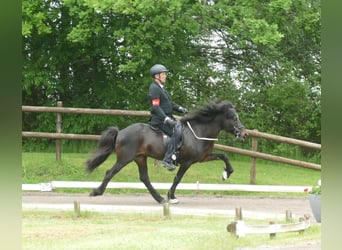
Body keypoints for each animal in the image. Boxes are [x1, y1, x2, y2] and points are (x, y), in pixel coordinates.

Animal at [87, 98, 247, 204]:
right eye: (234, 118)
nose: (244, 134)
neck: (199, 131)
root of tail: (121, 132)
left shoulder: (204, 157)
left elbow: (224, 156)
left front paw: (226, 173)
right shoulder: (187, 162)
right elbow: (178, 178)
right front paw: (172, 196)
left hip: (140, 157)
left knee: (144, 178)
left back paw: (159, 199)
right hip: (125, 158)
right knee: (110, 172)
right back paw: (96, 192)